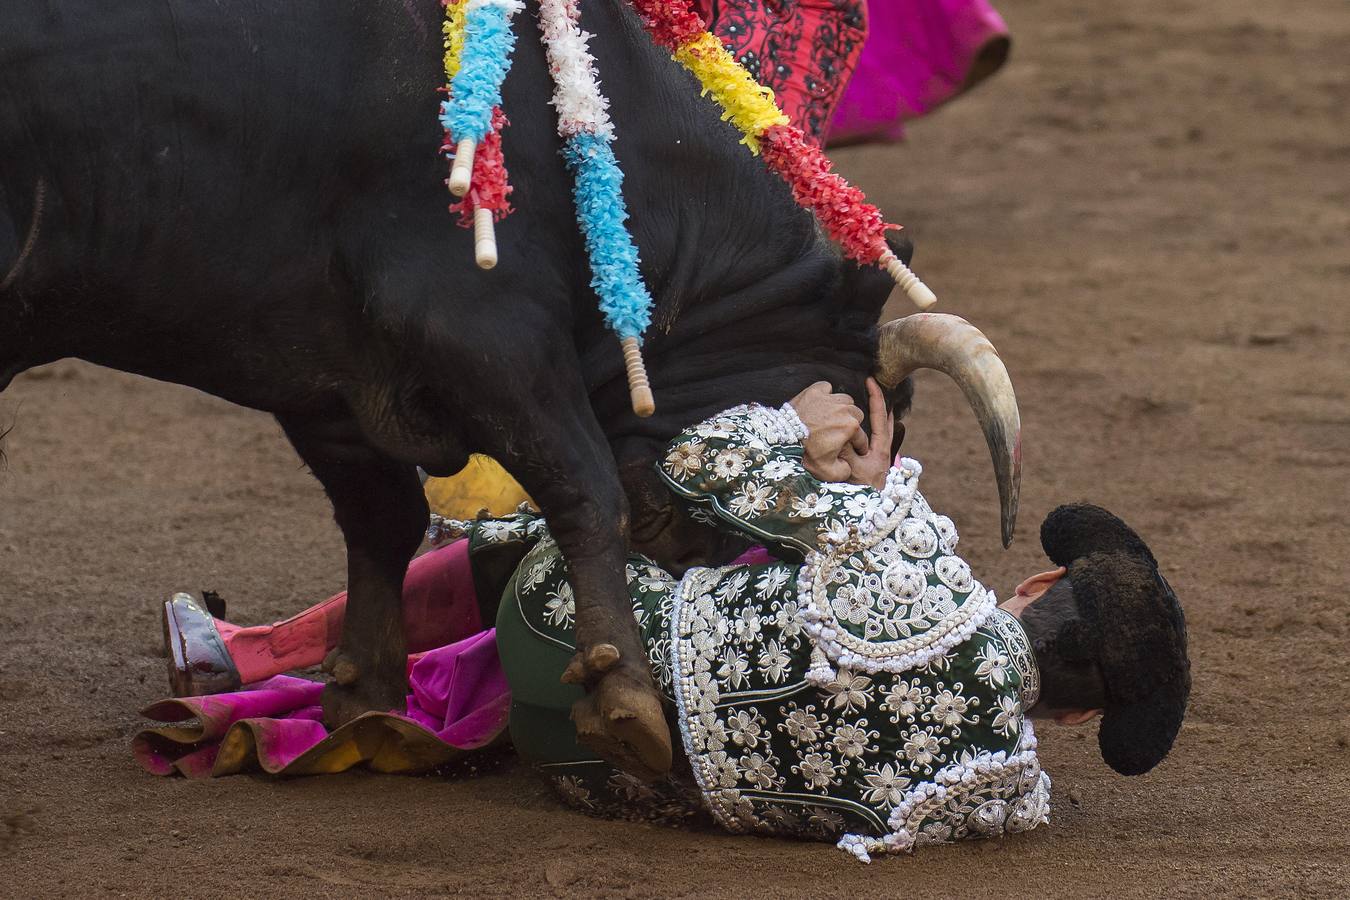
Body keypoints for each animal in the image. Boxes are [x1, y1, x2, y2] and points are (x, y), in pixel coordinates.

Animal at [0, 0, 912, 777]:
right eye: (848, 421)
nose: (699, 549)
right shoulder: (484, 330)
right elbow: (584, 485)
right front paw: (624, 698)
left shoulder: (329, 381)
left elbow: (384, 517)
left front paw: (363, 696)